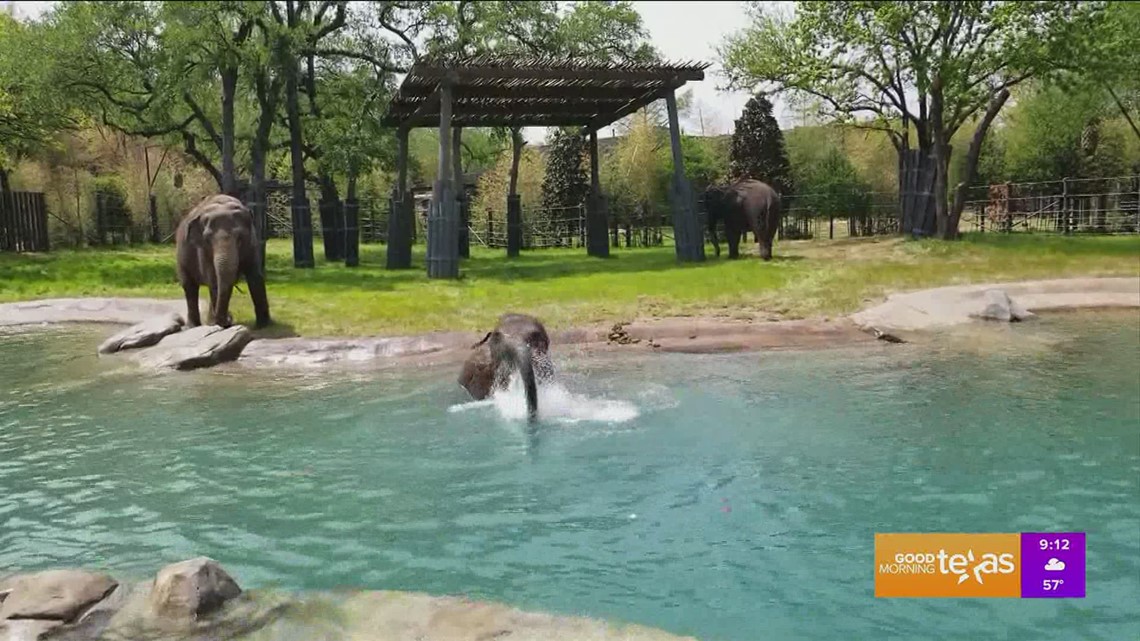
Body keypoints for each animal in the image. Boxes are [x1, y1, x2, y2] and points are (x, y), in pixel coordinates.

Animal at [175, 194, 271, 329]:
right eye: (207, 239)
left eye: (240, 238)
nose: (229, 320)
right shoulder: (203, 250)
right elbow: (214, 280)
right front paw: (219, 323)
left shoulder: (252, 243)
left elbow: (255, 276)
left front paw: (264, 325)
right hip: (181, 259)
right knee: (190, 287)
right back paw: (195, 326)